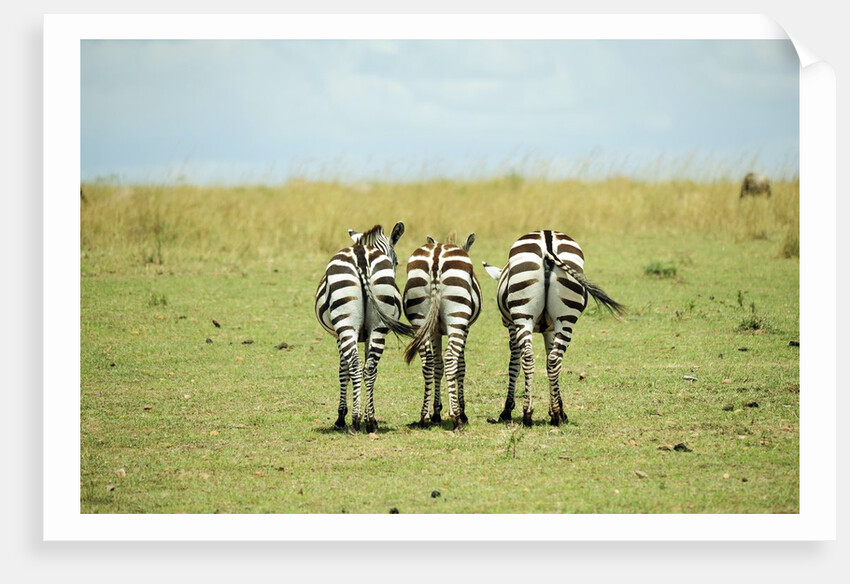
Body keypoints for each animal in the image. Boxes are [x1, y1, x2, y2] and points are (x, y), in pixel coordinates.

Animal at [314, 223, 413, 433]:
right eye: (397, 262)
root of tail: (361, 254)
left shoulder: (339, 336)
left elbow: (343, 371)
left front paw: (341, 417)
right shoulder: (367, 335)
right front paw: (367, 415)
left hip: (346, 324)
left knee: (354, 365)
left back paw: (356, 420)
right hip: (378, 326)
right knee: (369, 368)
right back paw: (370, 421)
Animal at [402, 233, 482, 430]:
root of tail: (437, 255)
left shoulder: (434, 331)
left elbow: (438, 365)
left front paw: (436, 412)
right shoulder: (465, 328)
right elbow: (461, 366)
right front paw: (462, 411)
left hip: (419, 318)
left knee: (427, 362)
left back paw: (424, 416)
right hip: (457, 317)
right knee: (452, 359)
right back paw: (457, 418)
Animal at [482, 230, 624, 427]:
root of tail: (547, 242)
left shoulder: (511, 325)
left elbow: (514, 364)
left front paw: (507, 411)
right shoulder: (550, 329)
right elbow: (550, 361)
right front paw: (557, 409)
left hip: (523, 316)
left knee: (528, 357)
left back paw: (527, 413)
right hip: (565, 318)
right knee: (554, 359)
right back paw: (556, 415)